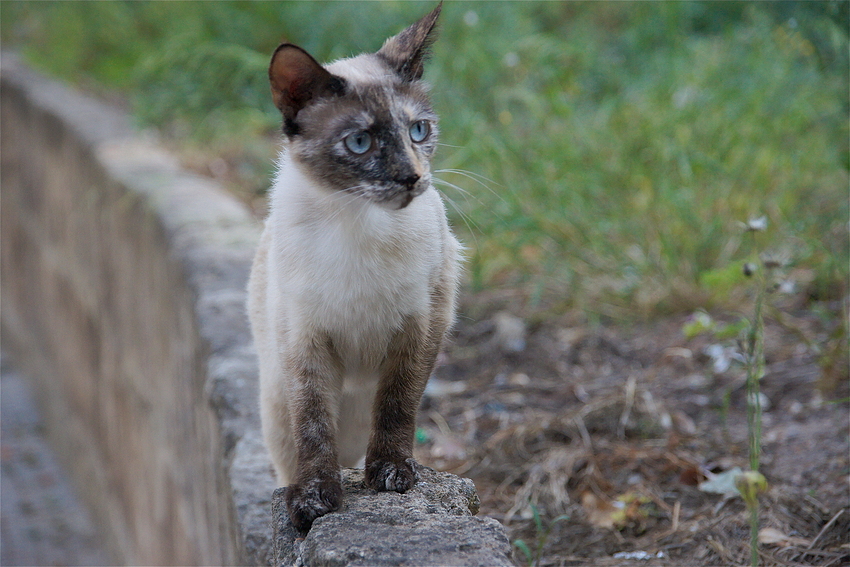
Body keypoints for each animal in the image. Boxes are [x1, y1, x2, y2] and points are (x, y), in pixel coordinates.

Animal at [247, 3, 458, 532]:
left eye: (419, 131)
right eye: (360, 142)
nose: (412, 178)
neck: (359, 221)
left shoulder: (421, 328)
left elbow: (398, 408)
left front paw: (391, 476)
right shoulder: (304, 343)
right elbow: (314, 425)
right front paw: (314, 501)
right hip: (276, 406)